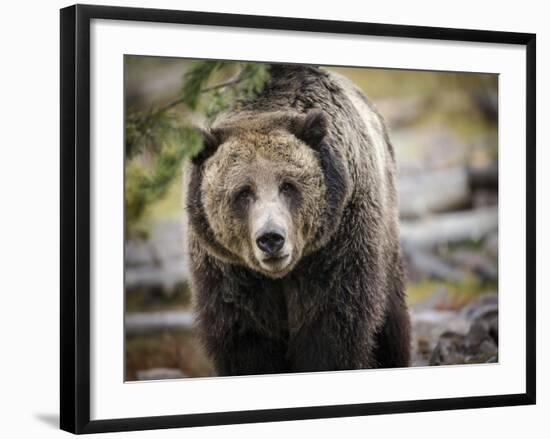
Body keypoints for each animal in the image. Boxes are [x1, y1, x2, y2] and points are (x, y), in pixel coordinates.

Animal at [183, 63, 412, 376]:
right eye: (243, 192)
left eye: (288, 185)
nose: (271, 238)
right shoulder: (228, 270)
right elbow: (246, 338)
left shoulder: (336, 245)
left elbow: (331, 328)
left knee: (391, 320)